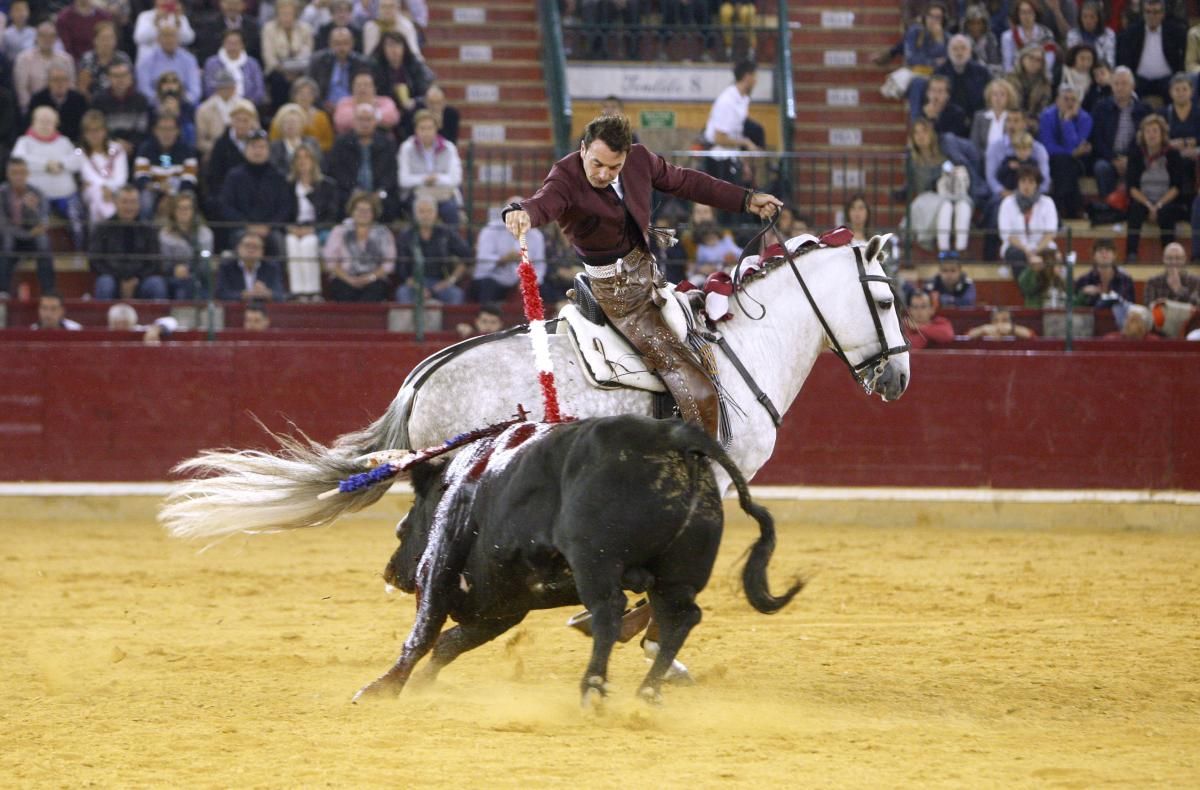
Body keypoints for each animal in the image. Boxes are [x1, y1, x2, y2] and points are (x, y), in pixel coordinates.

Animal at [355, 413, 806, 701]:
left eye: (402, 529)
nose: (391, 573)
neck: (464, 480)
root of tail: (676, 437)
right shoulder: (506, 605)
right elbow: (450, 642)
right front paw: (419, 685)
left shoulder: (442, 564)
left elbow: (424, 633)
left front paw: (381, 689)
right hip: (677, 574)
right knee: (681, 617)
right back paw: (647, 691)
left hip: (596, 562)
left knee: (609, 611)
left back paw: (593, 687)